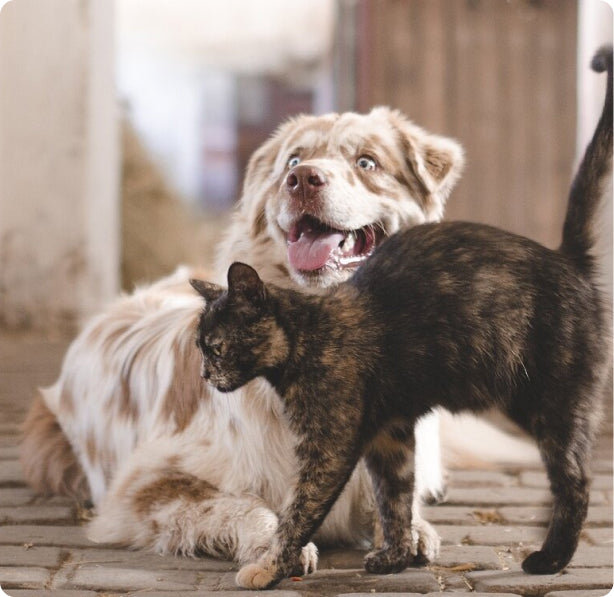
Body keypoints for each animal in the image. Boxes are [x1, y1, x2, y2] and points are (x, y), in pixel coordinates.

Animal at [21, 107, 474, 564]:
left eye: (367, 162)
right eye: (294, 160)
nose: (302, 179)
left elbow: (393, 497)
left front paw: (410, 530)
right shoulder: (144, 485)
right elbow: (243, 505)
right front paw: (273, 547)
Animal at [190, 45, 612, 588]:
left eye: (216, 347)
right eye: (199, 348)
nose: (205, 374)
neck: (309, 332)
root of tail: (567, 259)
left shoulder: (330, 446)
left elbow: (298, 511)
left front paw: (269, 568)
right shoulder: (389, 435)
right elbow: (394, 498)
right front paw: (395, 555)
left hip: (552, 403)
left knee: (576, 480)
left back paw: (551, 558)